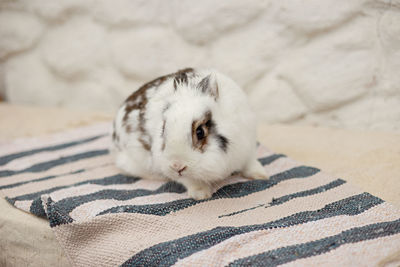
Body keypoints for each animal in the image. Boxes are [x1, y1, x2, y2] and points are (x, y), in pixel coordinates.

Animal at [111, 68, 268, 200]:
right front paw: (200, 194)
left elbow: (250, 163)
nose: (177, 166)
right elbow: (189, 180)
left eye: (200, 132)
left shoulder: (248, 147)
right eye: (163, 129)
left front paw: (261, 175)